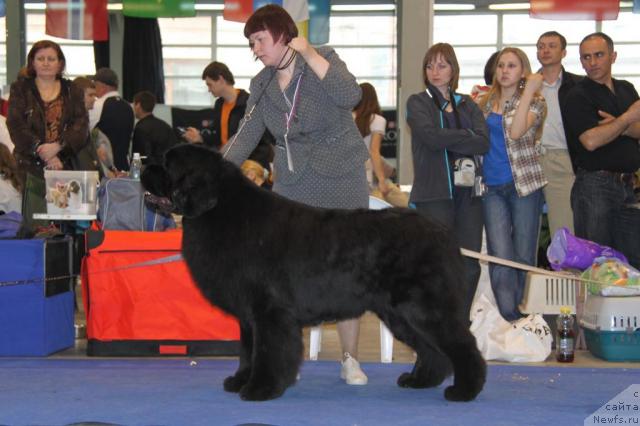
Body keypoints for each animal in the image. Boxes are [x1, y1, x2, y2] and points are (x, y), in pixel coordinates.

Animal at [142, 144, 484, 402]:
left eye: (167, 163)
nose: (144, 166)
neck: (220, 210)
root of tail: (443, 233)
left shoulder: (269, 311)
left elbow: (267, 351)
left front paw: (260, 389)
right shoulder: (249, 315)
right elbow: (247, 350)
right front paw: (240, 381)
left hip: (423, 307)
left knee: (462, 344)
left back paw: (465, 390)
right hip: (400, 313)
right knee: (431, 349)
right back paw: (420, 381)